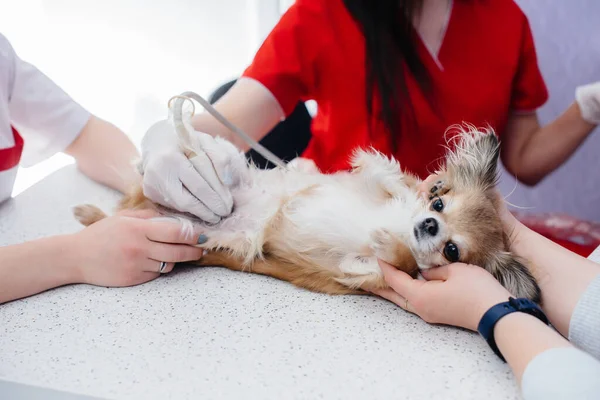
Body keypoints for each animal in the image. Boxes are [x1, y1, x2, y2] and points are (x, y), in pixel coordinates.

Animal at [72, 123, 540, 302]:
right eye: (438, 205)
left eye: (452, 251)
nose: (427, 223)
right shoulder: (373, 185)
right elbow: (388, 174)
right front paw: (401, 180)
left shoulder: (359, 274)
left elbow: (397, 262)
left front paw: (391, 245)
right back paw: (190, 141)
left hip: (180, 233)